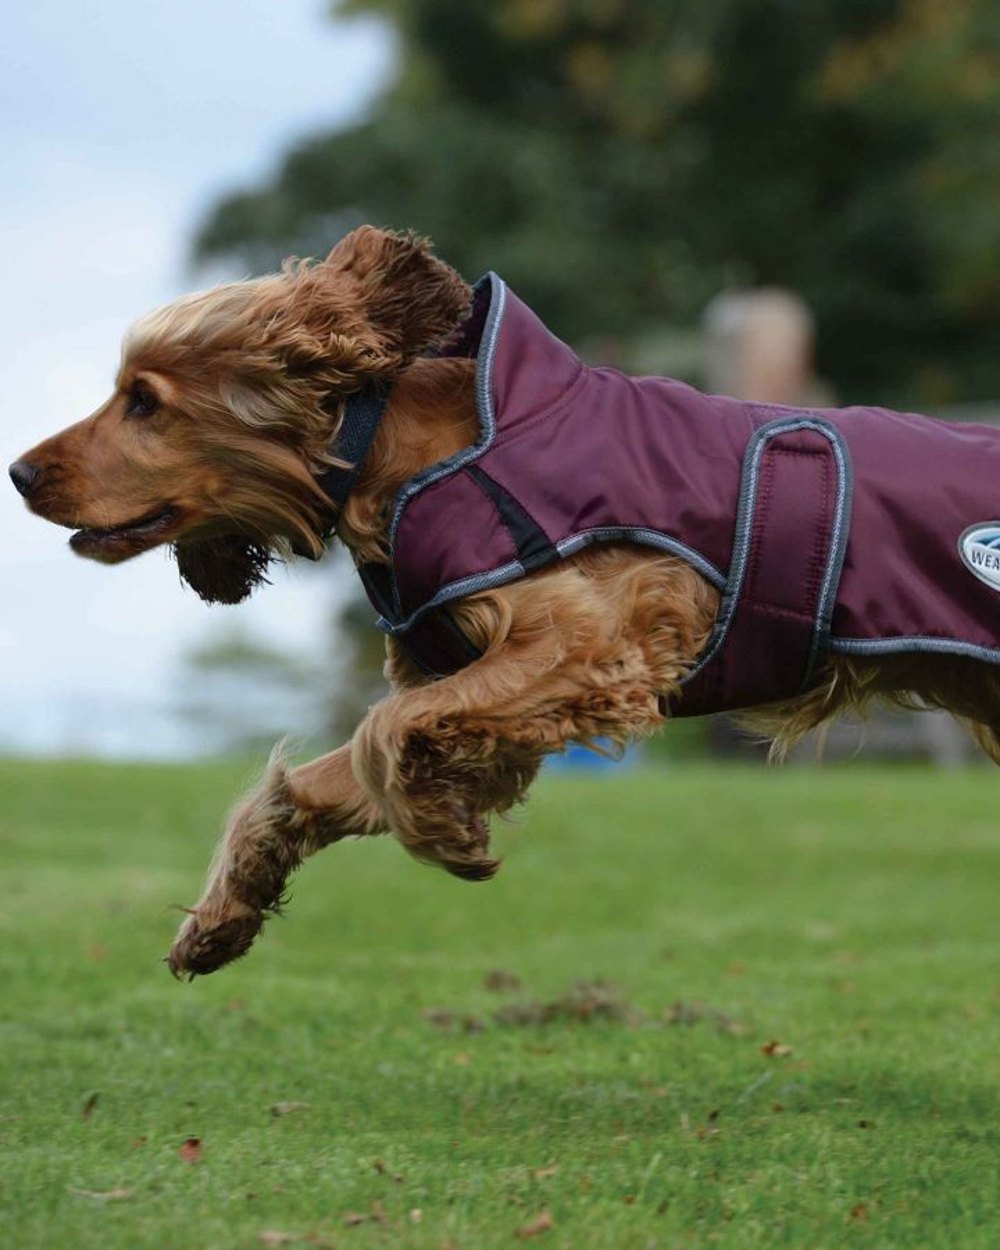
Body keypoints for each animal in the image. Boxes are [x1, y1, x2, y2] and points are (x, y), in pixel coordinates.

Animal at [11, 230, 1000, 980]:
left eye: (144, 401)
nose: (18, 472)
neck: (407, 453)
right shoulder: (483, 697)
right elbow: (322, 780)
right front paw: (222, 917)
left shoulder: (586, 648)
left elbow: (384, 735)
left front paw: (445, 833)